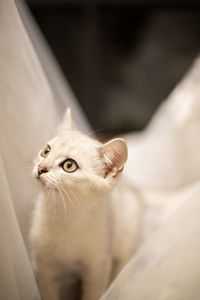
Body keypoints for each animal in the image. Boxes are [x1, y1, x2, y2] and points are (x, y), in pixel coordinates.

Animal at [30, 109, 139, 300]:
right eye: (46, 151)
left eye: (69, 165)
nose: (40, 168)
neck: (67, 214)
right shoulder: (43, 262)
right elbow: (47, 291)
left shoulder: (98, 263)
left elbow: (94, 292)